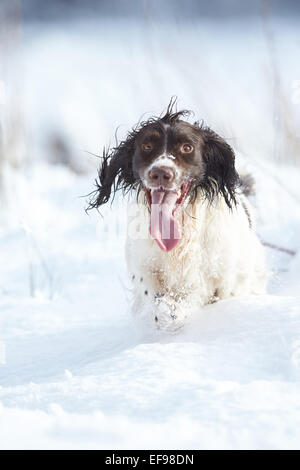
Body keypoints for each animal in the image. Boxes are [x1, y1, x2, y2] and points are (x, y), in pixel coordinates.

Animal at [88, 102, 268, 330]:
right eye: (147, 146)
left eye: (187, 148)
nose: (161, 173)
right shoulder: (143, 263)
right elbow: (154, 292)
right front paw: (167, 312)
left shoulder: (228, 280)